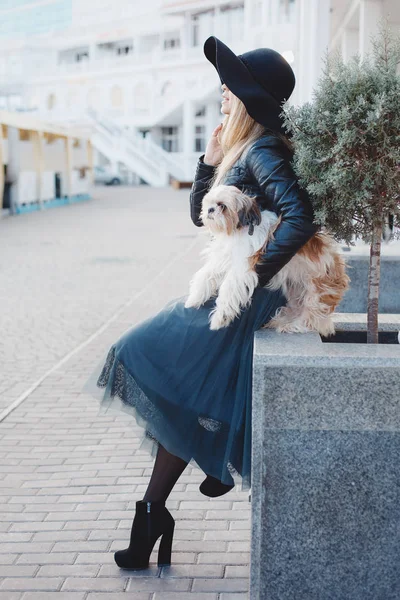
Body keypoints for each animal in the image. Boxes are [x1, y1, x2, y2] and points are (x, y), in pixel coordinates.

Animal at [184, 184, 350, 332]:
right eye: (208, 204)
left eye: (222, 206)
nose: (210, 210)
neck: (238, 230)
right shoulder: (223, 259)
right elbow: (205, 274)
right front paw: (194, 298)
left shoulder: (244, 267)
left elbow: (228, 288)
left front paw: (220, 317)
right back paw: (281, 321)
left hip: (316, 293)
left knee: (311, 318)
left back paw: (293, 325)